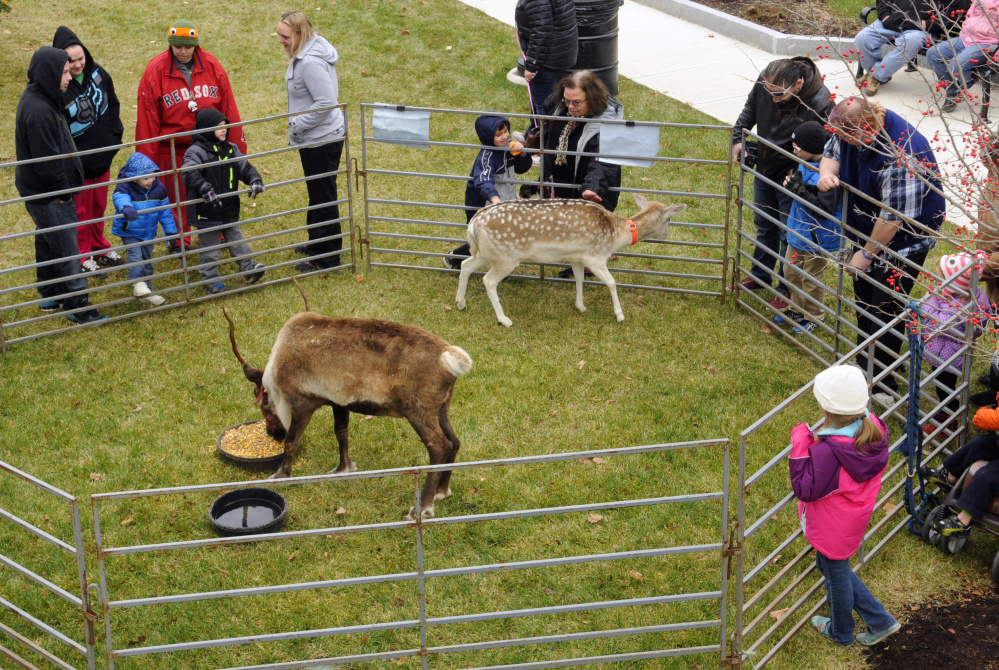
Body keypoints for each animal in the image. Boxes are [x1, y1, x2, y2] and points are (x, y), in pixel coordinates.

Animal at [222, 281, 473, 520]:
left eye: (263, 404)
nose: (272, 433)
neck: (275, 373)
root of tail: (451, 359)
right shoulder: (339, 403)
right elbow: (341, 434)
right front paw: (343, 468)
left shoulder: (303, 403)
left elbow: (292, 441)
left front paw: (283, 474)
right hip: (442, 406)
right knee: (455, 441)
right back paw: (442, 491)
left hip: (418, 410)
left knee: (440, 446)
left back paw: (422, 508)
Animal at [455, 194, 686, 327]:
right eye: (669, 219)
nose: (667, 235)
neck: (615, 235)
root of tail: (472, 224)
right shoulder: (596, 256)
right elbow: (611, 282)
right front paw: (620, 315)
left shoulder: (578, 256)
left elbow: (579, 279)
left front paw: (580, 306)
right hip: (506, 257)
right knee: (488, 280)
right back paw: (504, 320)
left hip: (486, 252)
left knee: (466, 265)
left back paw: (460, 303)